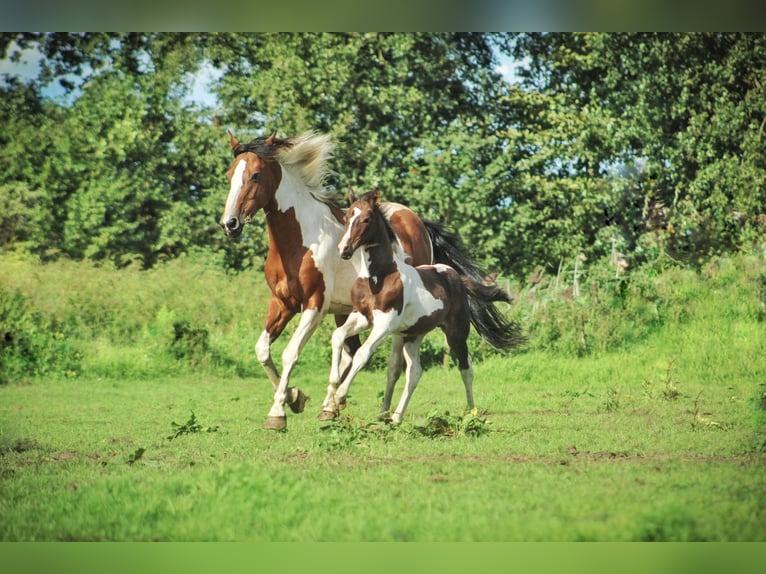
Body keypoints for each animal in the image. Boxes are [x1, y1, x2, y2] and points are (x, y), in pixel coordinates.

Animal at [222, 133, 438, 432]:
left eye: (255, 175)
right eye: (229, 175)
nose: (229, 224)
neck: (301, 241)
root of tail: (416, 222)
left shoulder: (315, 306)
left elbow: (290, 352)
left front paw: (277, 413)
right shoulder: (282, 303)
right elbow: (262, 350)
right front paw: (295, 398)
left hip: (397, 315)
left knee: (393, 364)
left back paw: (383, 414)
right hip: (347, 310)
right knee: (350, 351)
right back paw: (329, 407)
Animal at [320, 191, 520, 426]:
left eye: (366, 219)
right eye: (347, 217)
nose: (344, 249)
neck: (380, 276)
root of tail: (455, 276)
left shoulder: (385, 323)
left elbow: (362, 353)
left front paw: (340, 396)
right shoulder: (362, 316)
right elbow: (338, 335)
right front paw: (333, 388)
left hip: (456, 333)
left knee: (466, 367)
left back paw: (471, 413)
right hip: (413, 335)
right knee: (415, 372)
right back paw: (396, 417)